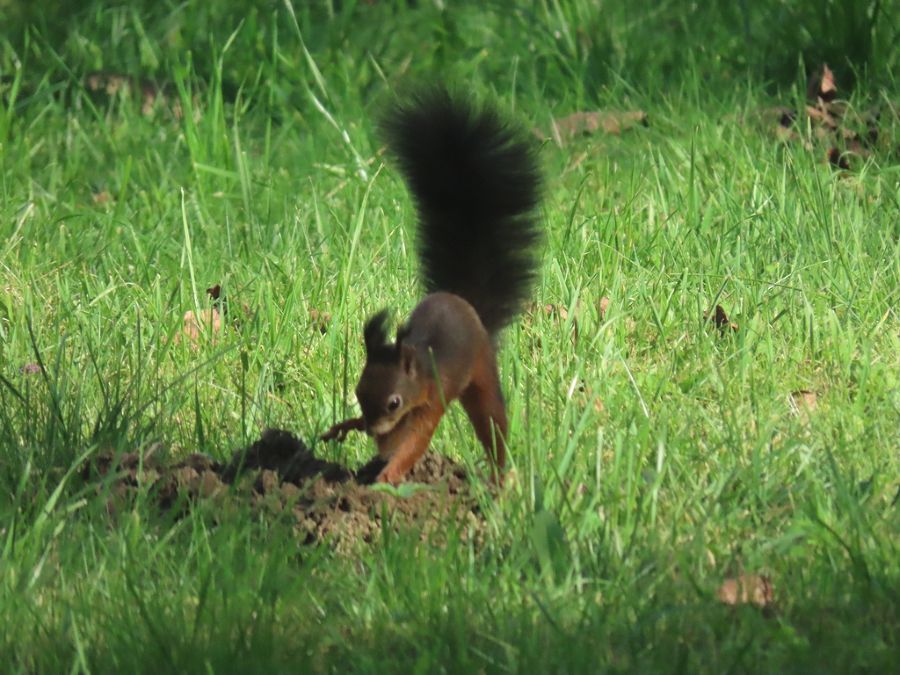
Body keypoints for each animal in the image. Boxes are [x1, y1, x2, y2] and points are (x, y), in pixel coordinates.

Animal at [320, 88, 536, 486]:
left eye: (394, 401)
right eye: (358, 390)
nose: (373, 430)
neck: (417, 367)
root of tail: (465, 303)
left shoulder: (431, 399)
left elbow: (414, 442)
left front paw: (386, 477)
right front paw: (347, 426)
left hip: (481, 373)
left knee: (492, 423)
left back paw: (499, 478)